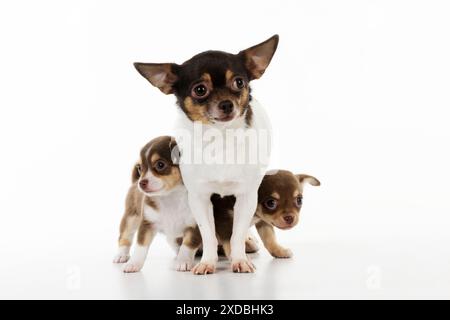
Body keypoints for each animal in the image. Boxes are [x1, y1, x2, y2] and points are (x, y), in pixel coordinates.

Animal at [113, 136, 201, 272]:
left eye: (160, 165)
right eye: (140, 168)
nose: (141, 183)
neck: (170, 197)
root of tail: (134, 182)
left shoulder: (195, 226)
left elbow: (187, 245)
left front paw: (183, 261)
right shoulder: (147, 224)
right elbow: (140, 247)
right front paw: (134, 263)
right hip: (130, 217)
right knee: (125, 236)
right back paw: (121, 255)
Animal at [134, 35, 278, 276]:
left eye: (239, 82)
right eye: (200, 89)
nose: (227, 104)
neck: (220, 140)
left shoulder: (247, 196)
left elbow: (236, 233)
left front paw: (239, 259)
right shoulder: (199, 199)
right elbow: (207, 234)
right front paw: (207, 262)